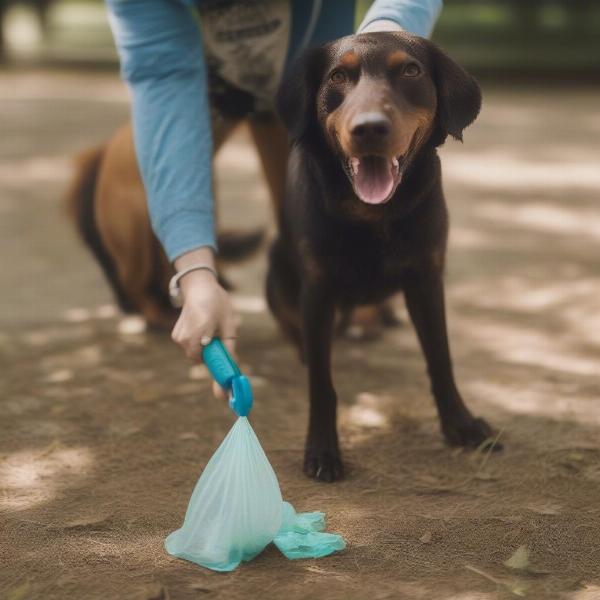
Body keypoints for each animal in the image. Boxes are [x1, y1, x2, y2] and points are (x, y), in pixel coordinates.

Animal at [268, 31, 496, 482]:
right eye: (338, 76)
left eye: (410, 70)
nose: (369, 129)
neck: (373, 215)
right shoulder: (317, 292)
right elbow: (322, 383)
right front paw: (322, 448)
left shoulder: (426, 281)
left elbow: (441, 359)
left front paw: (459, 424)